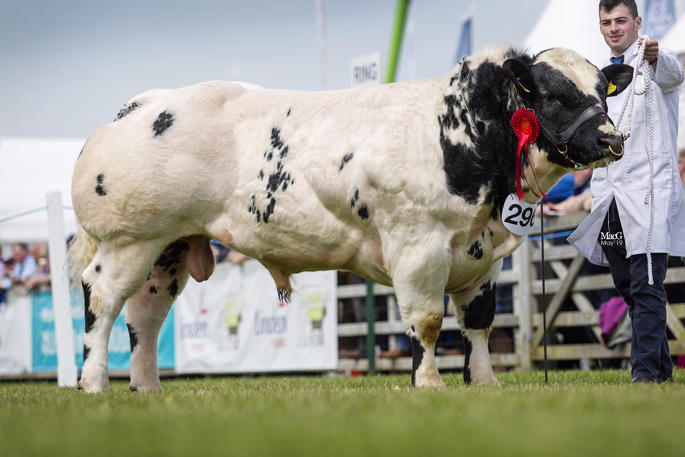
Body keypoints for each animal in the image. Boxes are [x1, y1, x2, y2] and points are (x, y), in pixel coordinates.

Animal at [71, 44, 632, 390]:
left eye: (602, 91)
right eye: (555, 94)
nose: (612, 139)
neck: (462, 132)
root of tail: (148, 102)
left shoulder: (485, 255)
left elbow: (478, 322)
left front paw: (485, 381)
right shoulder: (417, 244)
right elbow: (427, 321)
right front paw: (428, 382)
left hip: (166, 250)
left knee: (144, 316)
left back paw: (146, 386)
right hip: (129, 239)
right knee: (101, 300)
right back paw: (93, 383)